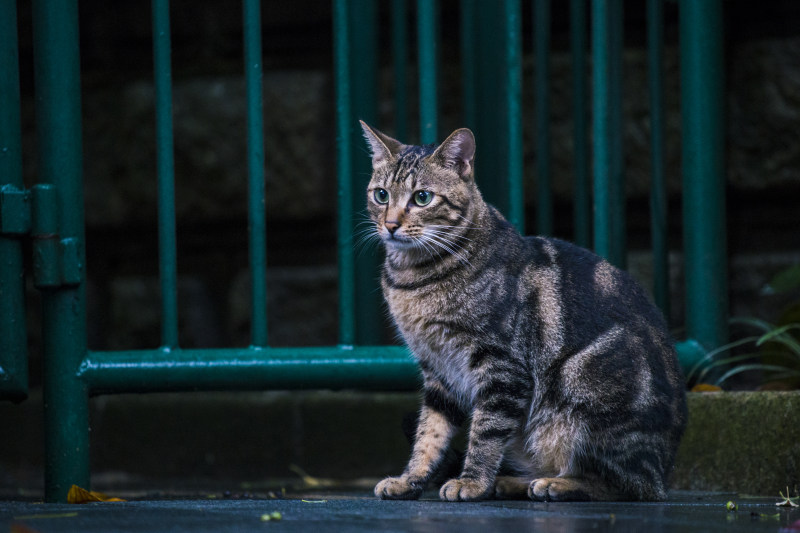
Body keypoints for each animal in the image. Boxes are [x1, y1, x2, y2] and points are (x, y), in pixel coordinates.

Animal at [362, 121, 688, 502]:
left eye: (422, 198)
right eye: (381, 195)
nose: (391, 224)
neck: (412, 278)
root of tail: (664, 472)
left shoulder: (502, 366)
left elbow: (485, 433)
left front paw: (471, 482)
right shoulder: (437, 370)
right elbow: (429, 434)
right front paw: (410, 479)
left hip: (583, 384)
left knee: (622, 484)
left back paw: (556, 484)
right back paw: (512, 482)